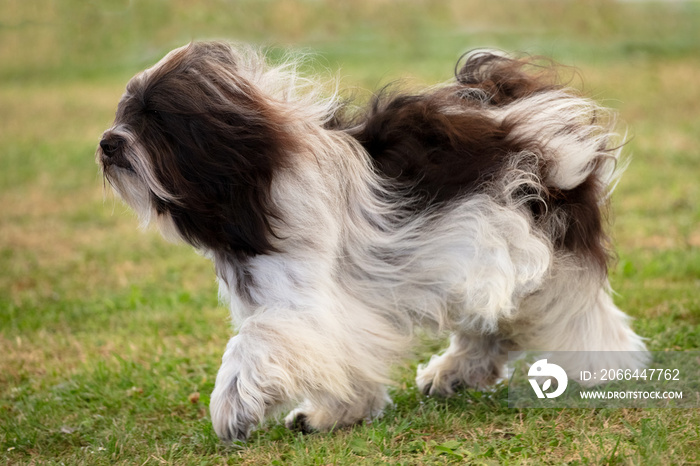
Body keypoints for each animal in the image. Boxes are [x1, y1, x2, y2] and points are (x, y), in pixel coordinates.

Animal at [95, 41, 648, 442]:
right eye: (125, 112)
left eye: (153, 120)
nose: (106, 143)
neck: (259, 180)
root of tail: (529, 113)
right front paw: (337, 413)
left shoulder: (306, 305)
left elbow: (258, 343)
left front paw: (232, 408)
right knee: (497, 324)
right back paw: (452, 372)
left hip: (533, 246)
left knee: (577, 317)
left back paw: (603, 372)